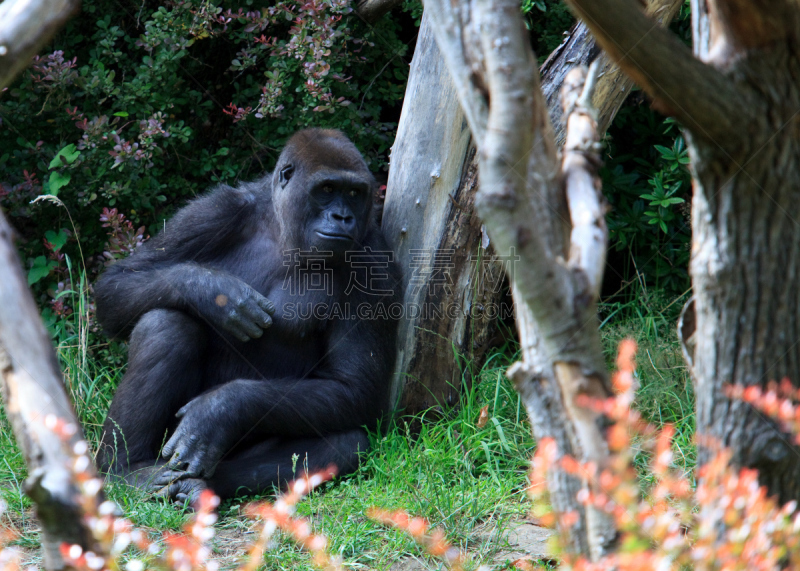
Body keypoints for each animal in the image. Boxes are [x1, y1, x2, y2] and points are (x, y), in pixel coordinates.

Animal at [95, 128, 400, 500]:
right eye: (327, 189)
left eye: (355, 193)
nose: (343, 217)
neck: (283, 228)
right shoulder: (214, 210)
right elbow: (116, 284)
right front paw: (214, 292)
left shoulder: (374, 260)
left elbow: (355, 388)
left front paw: (219, 410)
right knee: (165, 324)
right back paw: (126, 470)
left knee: (344, 443)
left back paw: (198, 486)